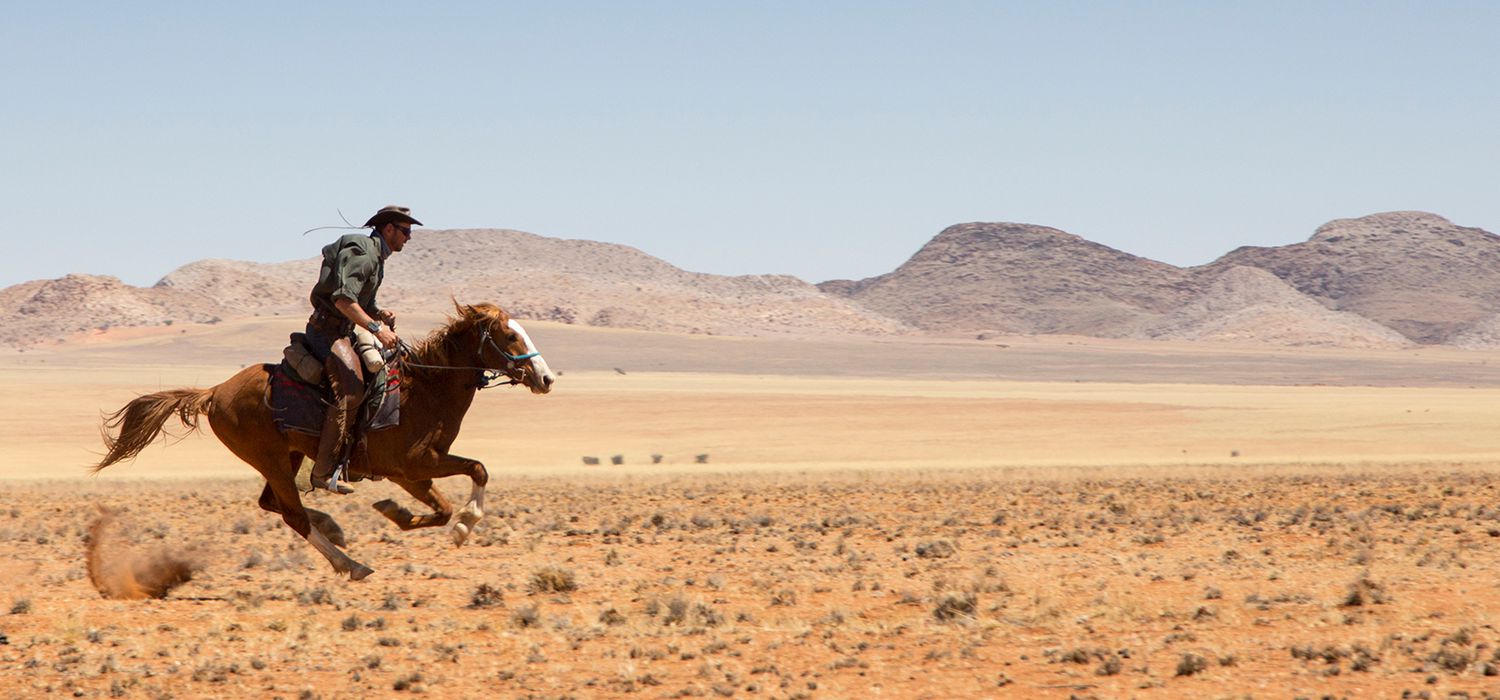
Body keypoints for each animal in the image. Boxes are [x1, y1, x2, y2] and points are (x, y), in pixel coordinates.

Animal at [90, 302, 558, 581]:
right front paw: (457, 525)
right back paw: (350, 563)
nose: (546, 378)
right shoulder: (412, 467)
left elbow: (463, 485)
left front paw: (409, 514)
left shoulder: (420, 469)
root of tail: (216, 392)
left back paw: (334, 529)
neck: (424, 388)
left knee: (275, 504)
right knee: (292, 514)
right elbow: (465, 484)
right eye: (511, 336)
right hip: (272, 460)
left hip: (291, 457)